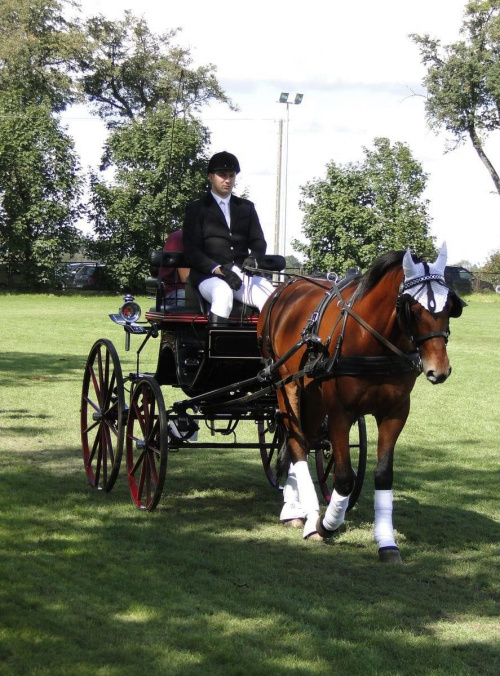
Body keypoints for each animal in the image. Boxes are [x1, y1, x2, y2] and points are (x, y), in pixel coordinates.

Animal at [258, 246, 464, 564]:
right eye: (414, 310)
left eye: (449, 307)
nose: (438, 370)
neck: (372, 340)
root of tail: (284, 288)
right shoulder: (340, 412)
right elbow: (344, 478)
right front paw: (326, 524)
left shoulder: (395, 413)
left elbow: (383, 475)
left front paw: (387, 542)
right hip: (286, 385)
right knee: (296, 442)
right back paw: (306, 515)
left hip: (312, 396)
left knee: (305, 440)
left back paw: (296, 509)